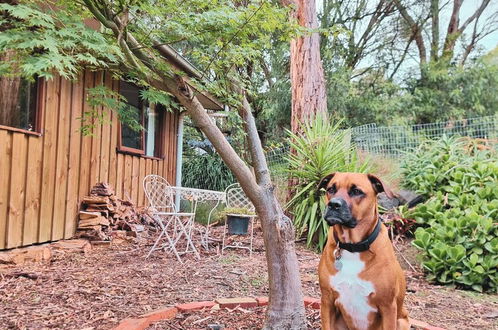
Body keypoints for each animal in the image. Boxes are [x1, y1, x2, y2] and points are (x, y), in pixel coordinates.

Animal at [318, 173, 410, 330]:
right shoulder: (327, 301)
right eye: (331, 189)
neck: (353, 247)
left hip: (401, 321)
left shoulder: (388, 307)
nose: (333, 204)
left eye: (356, 191)